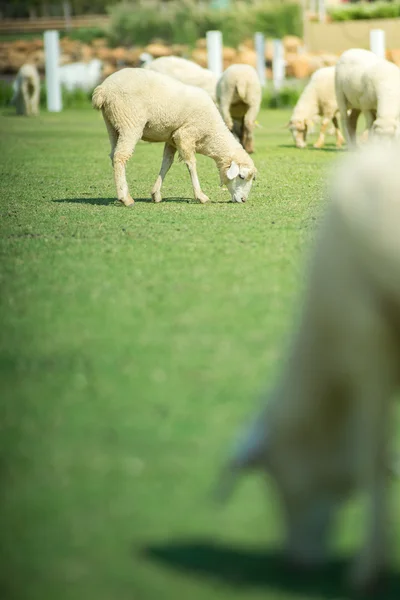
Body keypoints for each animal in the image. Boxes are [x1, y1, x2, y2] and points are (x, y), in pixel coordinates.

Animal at [92, 67, 256, 206]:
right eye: (241, 176)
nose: (243, 200)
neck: (211, 134)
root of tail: (103, 89)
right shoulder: (185, 135)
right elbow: (191, 164)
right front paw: (201, 196)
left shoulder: (172, 139)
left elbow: (166, 164)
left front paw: (156, 194)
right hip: (130, 122)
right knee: (121, 156)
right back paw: (125, 198)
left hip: (113, 124)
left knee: (114, 155)